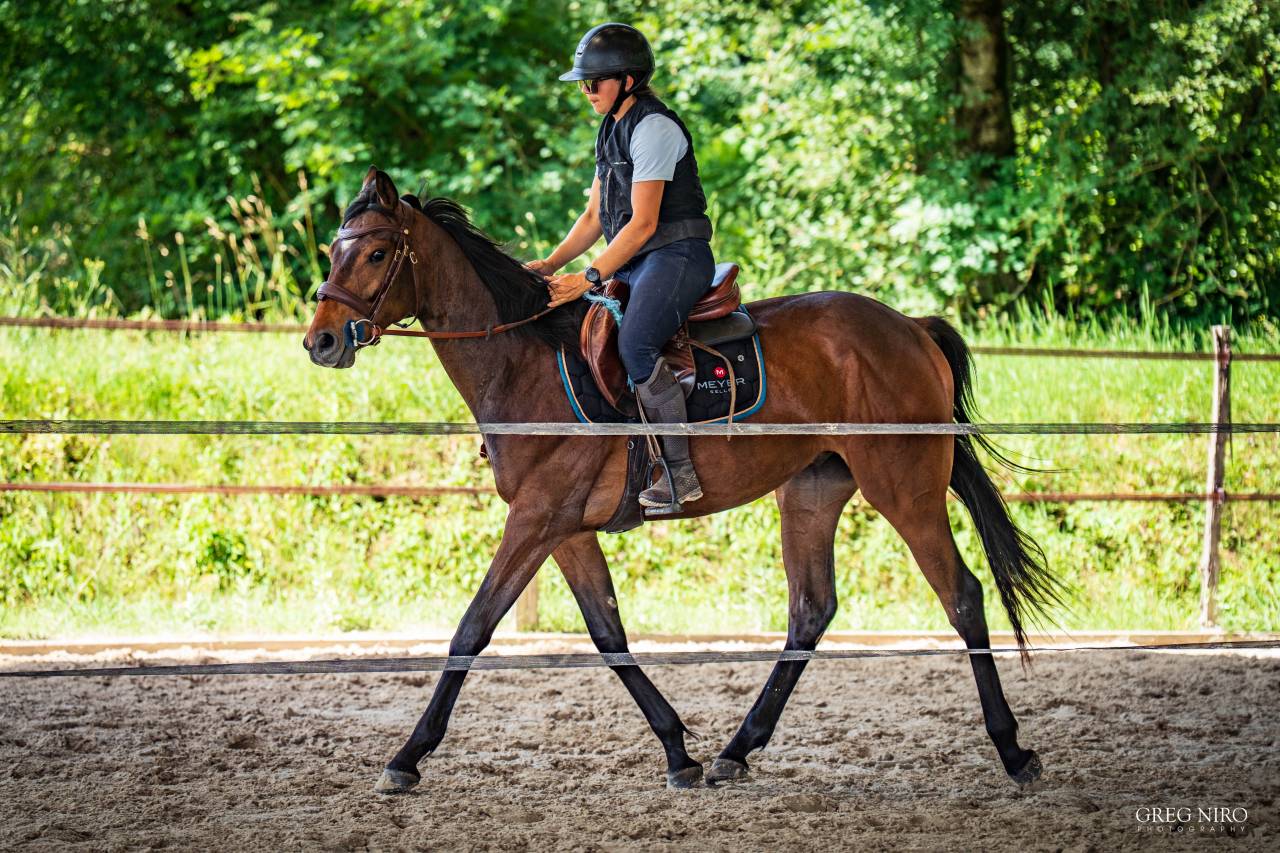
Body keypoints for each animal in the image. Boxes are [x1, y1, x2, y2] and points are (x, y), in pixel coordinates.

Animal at [304, 167, 1064, 793]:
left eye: (376, 253)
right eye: (336, 251)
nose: (322, 340)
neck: (523, 363)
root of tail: (909, 326)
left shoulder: (538, 519)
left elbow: (472, 628)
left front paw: (407, 756)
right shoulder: (565, 529)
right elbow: (608, 635)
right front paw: (678, 750)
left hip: (904, 489)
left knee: (961, 596)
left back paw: (1013, 750)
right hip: (812, 490)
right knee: (810, 610)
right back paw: (736, 750)